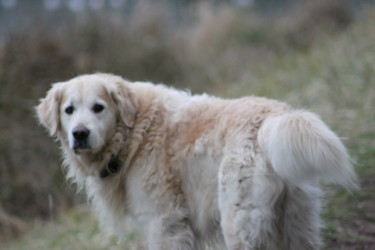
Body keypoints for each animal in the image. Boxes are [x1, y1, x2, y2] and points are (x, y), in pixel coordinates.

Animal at [37, 73, 358, 249]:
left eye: (98, 108)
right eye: (69, 110)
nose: (80, 133)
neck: (134, 133)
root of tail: (272, 117)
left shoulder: (164, 222)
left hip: (238, 221)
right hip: (297, 220)